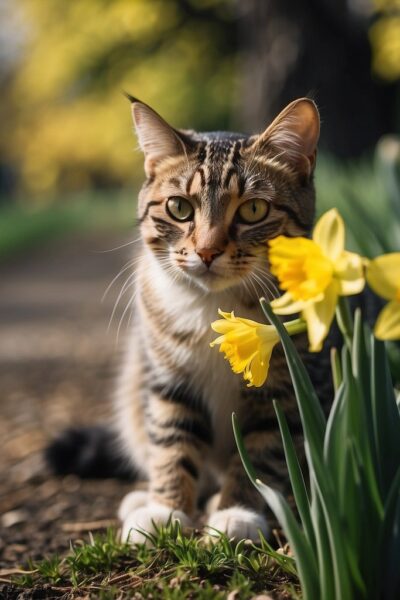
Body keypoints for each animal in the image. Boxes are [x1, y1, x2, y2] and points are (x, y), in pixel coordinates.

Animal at [48, 95, 332, 544]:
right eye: (179, 207)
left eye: (253, 209)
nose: (207, 250)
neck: (214, 305)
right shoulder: (168, 380)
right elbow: (172, 441)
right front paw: (165, 510)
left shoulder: (285, 389)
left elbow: (264, 452)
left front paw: (238, 512)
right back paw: (144, 497)